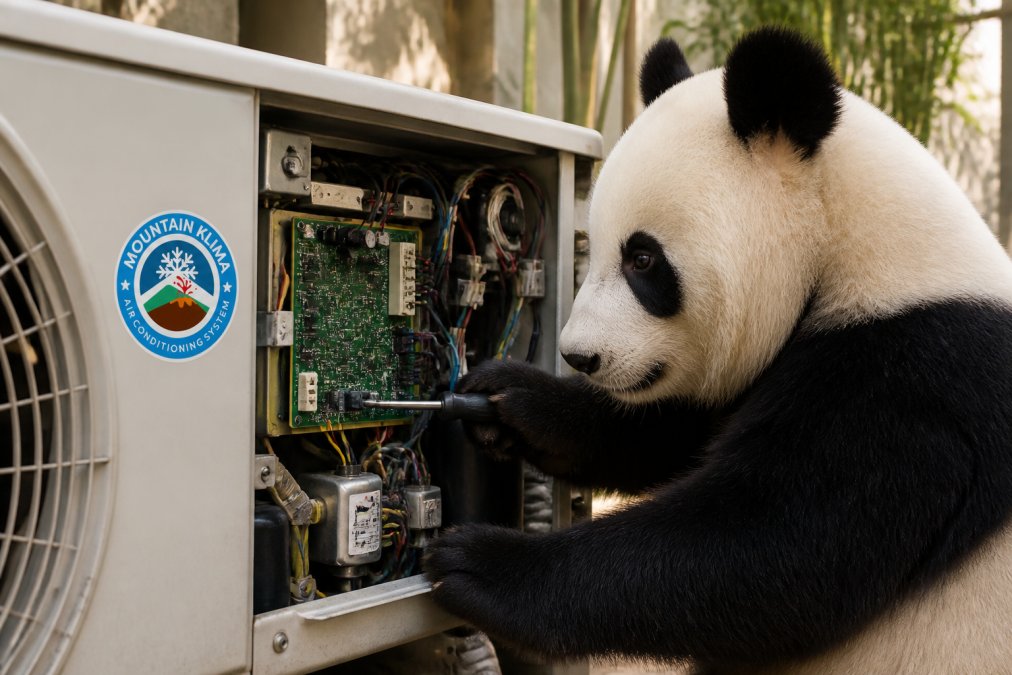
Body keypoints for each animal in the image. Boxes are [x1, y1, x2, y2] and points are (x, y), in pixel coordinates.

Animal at [424, 27, 1012, 674]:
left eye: (643, 259)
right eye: (594, 246)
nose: (580, 357)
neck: (850, 242)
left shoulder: (915, 381)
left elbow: (772, 547)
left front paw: (480, 565)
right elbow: (674, 432)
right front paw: (508, 399)